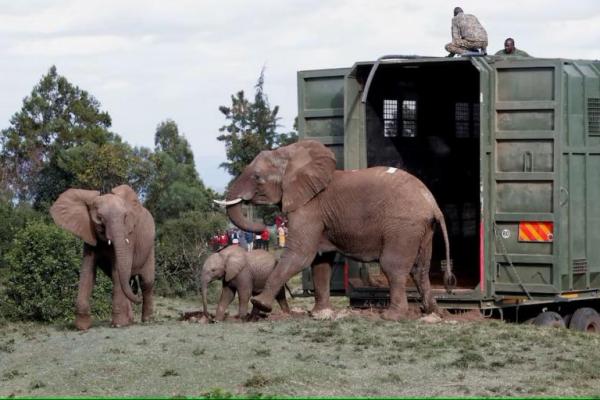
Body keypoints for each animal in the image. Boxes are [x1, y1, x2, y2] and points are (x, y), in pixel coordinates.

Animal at [50, 186, 155, 330]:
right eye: (99, 218)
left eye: (125, 217)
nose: (137, 296)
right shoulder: (89, 234)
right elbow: (87, 272)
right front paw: (82, 327)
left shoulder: (129, 237)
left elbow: (117, 273)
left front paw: (118, 325)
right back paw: (130, 321)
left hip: (150, 248)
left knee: (146, 282)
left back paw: (147, 321)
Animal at [213, 139, 452, 320]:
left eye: (257, 177)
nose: (264, 227)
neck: (291, 157)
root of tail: (432, 204)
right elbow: (320, 261)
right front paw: (319, 314)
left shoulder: (309, 208)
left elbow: (300, 255)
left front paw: (260, 304)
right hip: (422, 229)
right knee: (420, 269)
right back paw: (434, 313)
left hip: (403, 226)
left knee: (393, 266)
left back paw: (392, 317)